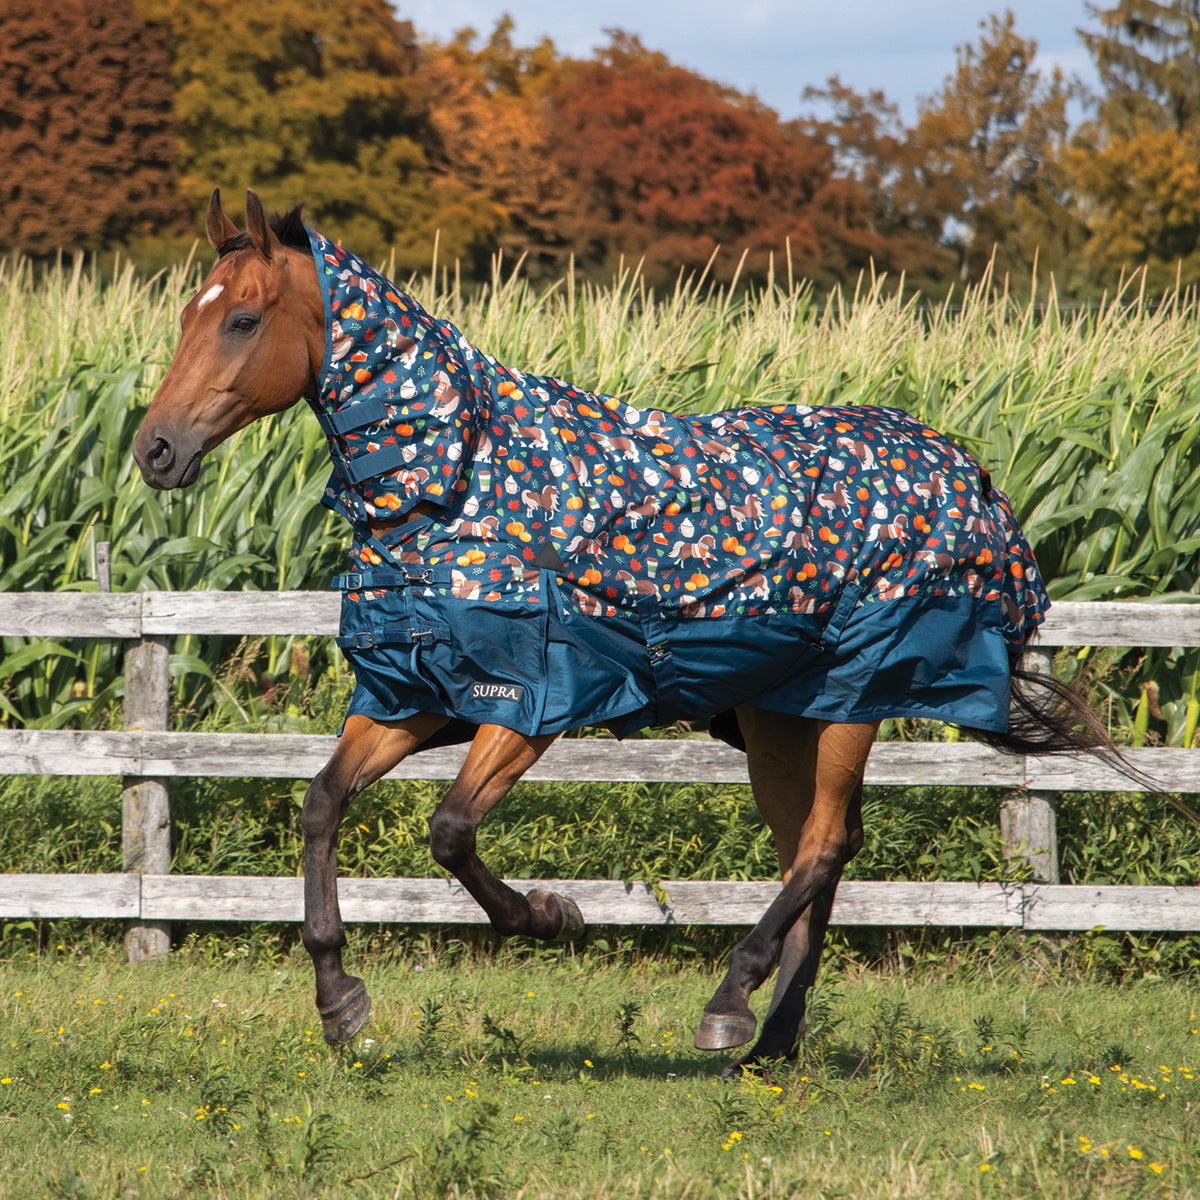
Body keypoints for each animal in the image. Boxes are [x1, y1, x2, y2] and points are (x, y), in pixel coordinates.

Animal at [133, 190, 1118, 1074]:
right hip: (779, 720)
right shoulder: (417, 693)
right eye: (185, 315)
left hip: (858, 699)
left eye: (243, 320)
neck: (460, 480)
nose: (154, 450)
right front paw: (340, 1001)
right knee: (816, 854)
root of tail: (969, 474)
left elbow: (449, 831)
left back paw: (731, 1003)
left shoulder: (530, 703)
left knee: (823, 847)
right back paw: (773, 1042)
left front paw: (552, 918)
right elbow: (321, 802)